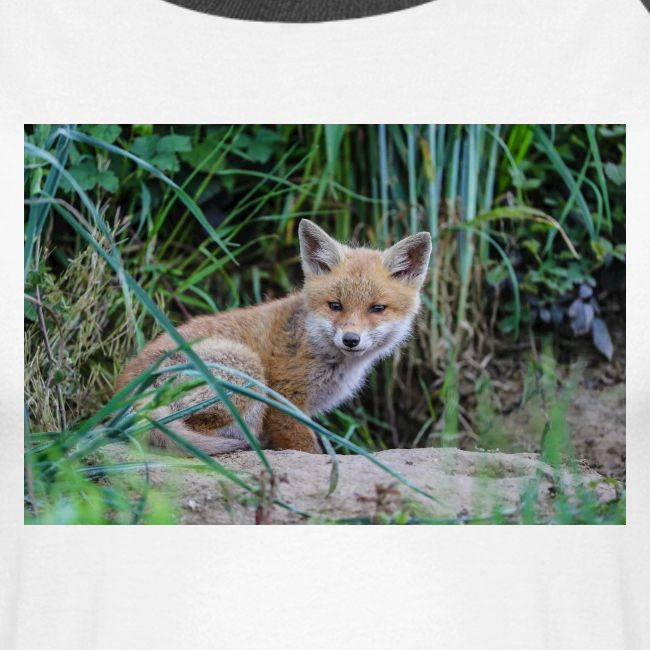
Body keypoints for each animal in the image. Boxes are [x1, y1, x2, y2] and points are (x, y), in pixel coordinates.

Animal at [116, 219, 432, 455]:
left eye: (377, 309)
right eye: (335, 305)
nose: (351, 339)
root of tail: (124, 394)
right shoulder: (284, 400)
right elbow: (307, 448)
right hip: (246, 369)